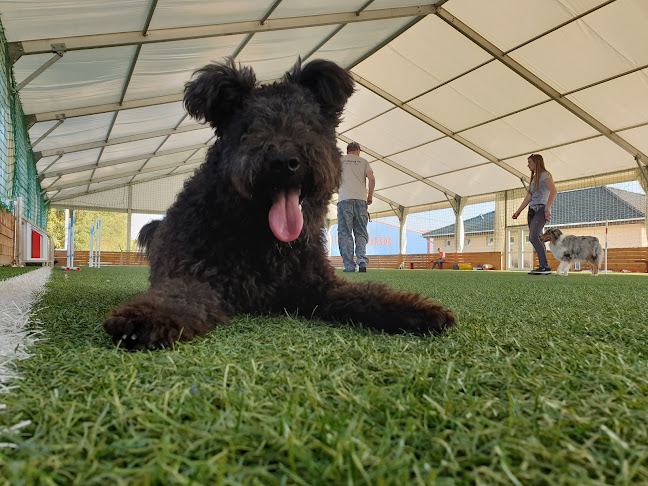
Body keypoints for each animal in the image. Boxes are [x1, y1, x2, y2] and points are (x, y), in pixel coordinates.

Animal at [102, 58, 456, 352]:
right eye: (250, 128)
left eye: (307, 123)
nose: (285, 161)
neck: (264, 240)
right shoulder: (199, 278)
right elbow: (180, 296)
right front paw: (144, 318)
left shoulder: (319, 286)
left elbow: (367, 294)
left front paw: (417, 309)